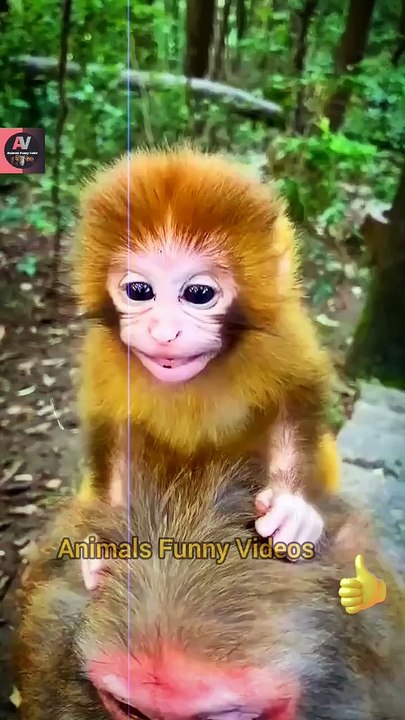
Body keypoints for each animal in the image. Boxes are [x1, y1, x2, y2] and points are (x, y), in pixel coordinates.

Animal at [73, 146, 340, 548]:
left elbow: (295, 394)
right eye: (139, 291)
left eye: (198, 294)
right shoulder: (103, 355)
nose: (164, 332)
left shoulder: (281, 335)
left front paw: (291, 506)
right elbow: (117, 433)